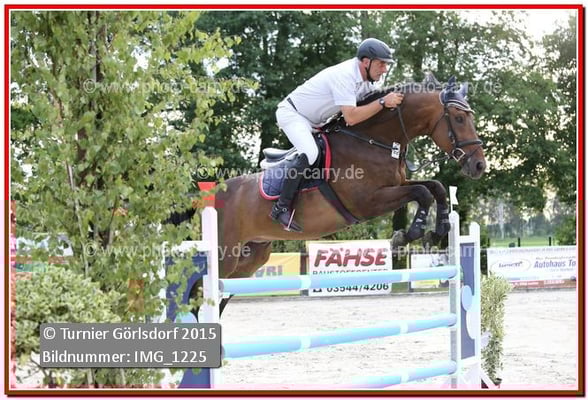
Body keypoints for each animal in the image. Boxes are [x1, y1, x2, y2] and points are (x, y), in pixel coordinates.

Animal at [177, 73, 486, 317]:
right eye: (459, 118)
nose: (479, 166)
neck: (375, 141)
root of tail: (205, 199)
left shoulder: (397, 184)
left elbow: (435, 187)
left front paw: (440, 227)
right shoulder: (367, 201)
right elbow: (422, 192)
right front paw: (406, 236)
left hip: (250, 258)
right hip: (223, 255)